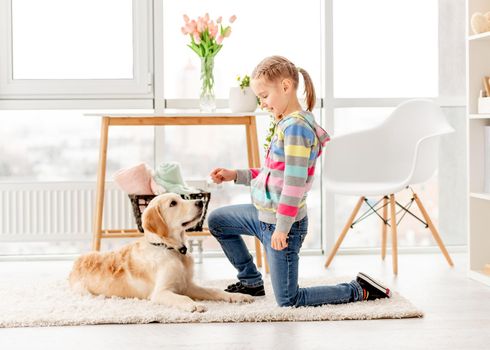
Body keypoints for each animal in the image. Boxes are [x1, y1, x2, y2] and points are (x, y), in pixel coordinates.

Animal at [70, 194, 253, 312]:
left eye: (181, 198)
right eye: (173, 203)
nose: (200, 201)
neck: (170, 248)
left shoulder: (188, 285)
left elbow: (214, 290)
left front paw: (238, 297)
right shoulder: (160, 293)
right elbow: (182, 298)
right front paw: (193, 305)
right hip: (81, 290)